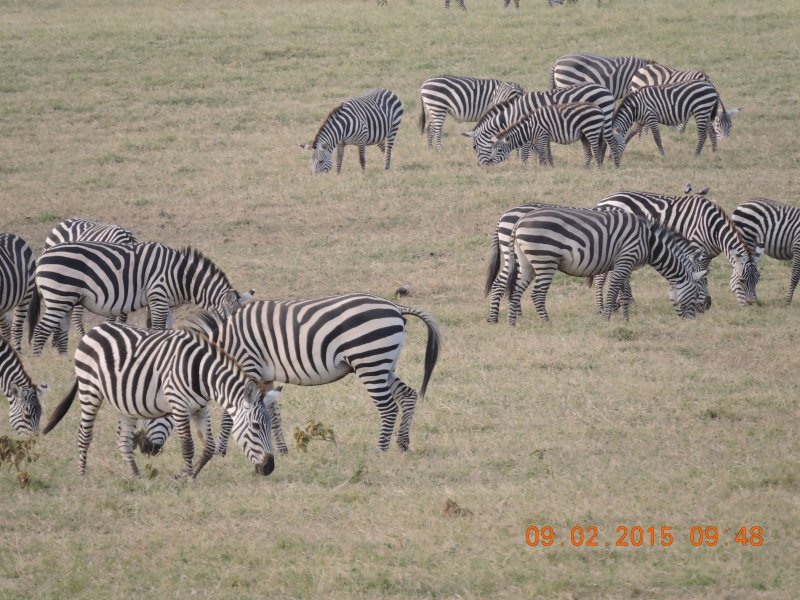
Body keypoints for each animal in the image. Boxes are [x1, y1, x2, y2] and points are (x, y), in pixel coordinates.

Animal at [28, 241, 252, 355]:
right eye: (230, 327)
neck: (180, 275)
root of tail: (42, 258)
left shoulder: (166, 302)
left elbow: (167, 328)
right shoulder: (158, 296)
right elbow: (159, 328)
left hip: (66, 300)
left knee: (61, 331)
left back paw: (63, 359)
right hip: (59, 296)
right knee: (40, 331)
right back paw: (39, 360)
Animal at [41, 322, 275, 478]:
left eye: (269, 426)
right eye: (255, 426)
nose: (269, 467)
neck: (202, 374)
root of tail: (94, 329)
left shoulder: (201, 408)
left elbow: (209, 447)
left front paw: (190, 475)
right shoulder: (179, 406)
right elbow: (188, 445)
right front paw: (187, 478)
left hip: (124, 403)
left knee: (123, 440)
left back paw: (136, 476)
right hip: (90, 389)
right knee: (85, 434)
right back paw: (82, 475)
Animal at [462, 83, 620, 167]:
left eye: (474, 147)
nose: (482, 165)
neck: (514, 112)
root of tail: (605, 89)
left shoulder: (529, 127)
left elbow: (526, 150)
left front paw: (525, 165)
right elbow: (543, 149)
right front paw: (550, 165)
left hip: (605, 116)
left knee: (611, 141)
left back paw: (615, 164)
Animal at [505, 207, 705, 324]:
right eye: (696, 292)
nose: (693, 321)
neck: (649, 242)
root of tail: (519, 221)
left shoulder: (624, 264)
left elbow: (624, 293)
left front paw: (625, 319)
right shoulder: (625, 259)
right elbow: (613, 290)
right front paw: (607, 318)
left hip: (526, 263)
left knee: (516, 291)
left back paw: (512, 323)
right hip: (545, 259)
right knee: (537, 295)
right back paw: (547, 322)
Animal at [595, 191, 762, 307]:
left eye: (758, 280)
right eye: (742, 280)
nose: (751, 304)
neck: (712, 227)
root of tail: (603, 201)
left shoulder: (707, 255)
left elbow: (702, 274)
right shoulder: (695, 250)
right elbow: (698, 274)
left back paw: (626, 301)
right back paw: (602, 306)